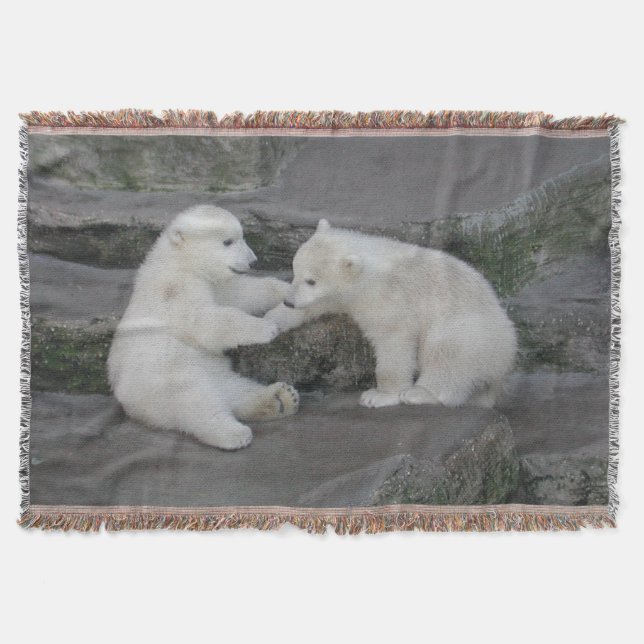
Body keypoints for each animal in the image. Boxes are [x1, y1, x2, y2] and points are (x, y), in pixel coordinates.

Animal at [107, 205, 299, 450]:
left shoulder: (215, 284)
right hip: (164, 377)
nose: (253, 261)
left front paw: (288, 290)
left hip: (214, 372)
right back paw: (233, 433)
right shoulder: (176, 290)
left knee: (235, 389)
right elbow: (203, 321)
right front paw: (267, 327)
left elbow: (242, 293)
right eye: (228, 241)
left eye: (242, 236)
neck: (179, 260)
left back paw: (281, 399)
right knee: (196, 400)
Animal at [266, 219, 517, 409]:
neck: (370, 273)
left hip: (470, 332)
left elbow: (394, 344)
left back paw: (420, 393)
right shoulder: (343, 296)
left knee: (446, 352)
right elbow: (317, 304)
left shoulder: (390, 300)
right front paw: (271, 320)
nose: (289, 301)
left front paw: (378, 396)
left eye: (311, 280)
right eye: (295, 271)